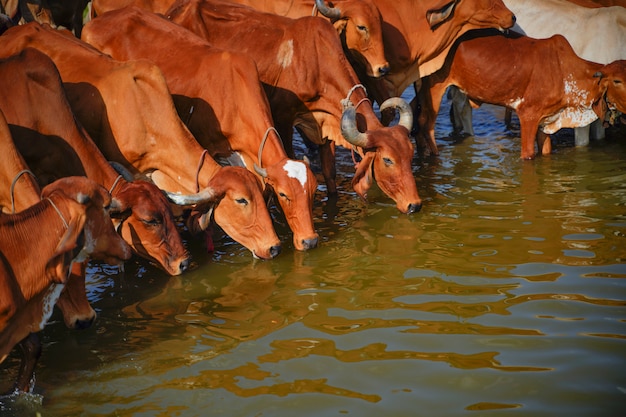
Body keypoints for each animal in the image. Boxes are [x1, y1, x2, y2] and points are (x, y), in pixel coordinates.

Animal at [166, 0, 420, 213]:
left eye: (411, 154)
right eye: (388, 160)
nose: (415, 205)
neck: (315, 62)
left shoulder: (324, 124)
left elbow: (329, 174)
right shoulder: (283, 120)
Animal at [414, 29, 624, 159]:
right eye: (617, 81)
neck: (565, 72)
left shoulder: (546, 121)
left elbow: (546, 151)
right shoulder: (528, 115)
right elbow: (528, 154)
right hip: (434, 88)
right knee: (426, 124)